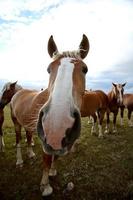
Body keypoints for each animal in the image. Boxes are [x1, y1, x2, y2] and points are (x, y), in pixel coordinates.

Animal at [10, 34, 89, 195]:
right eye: (48, 69)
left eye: (85, 69)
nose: (57, 124)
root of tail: (18, 92)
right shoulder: (45, 138)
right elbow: (46, 159)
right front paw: (45, 186)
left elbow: (56, 156)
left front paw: (53, 172)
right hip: (16, 123)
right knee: (18, 140)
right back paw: (19, 161)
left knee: (28, 137)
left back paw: (30, 154)